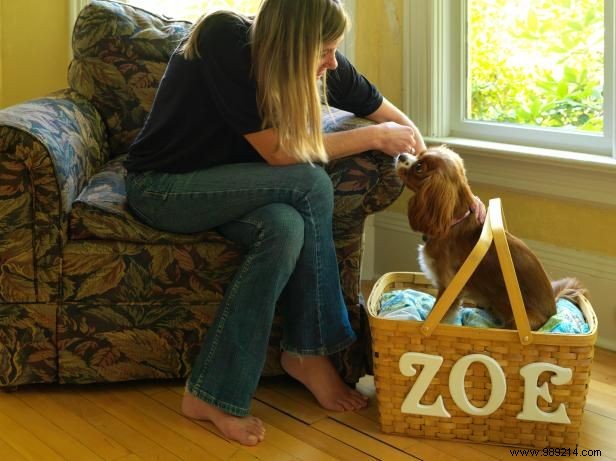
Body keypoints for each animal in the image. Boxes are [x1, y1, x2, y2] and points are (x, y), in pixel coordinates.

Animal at [394, 146, 588, 328]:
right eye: (419, 153)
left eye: (419, 168)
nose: (401, 155)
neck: (453, 223)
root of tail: (553, 309)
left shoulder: (448, 285)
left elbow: (437, 314)